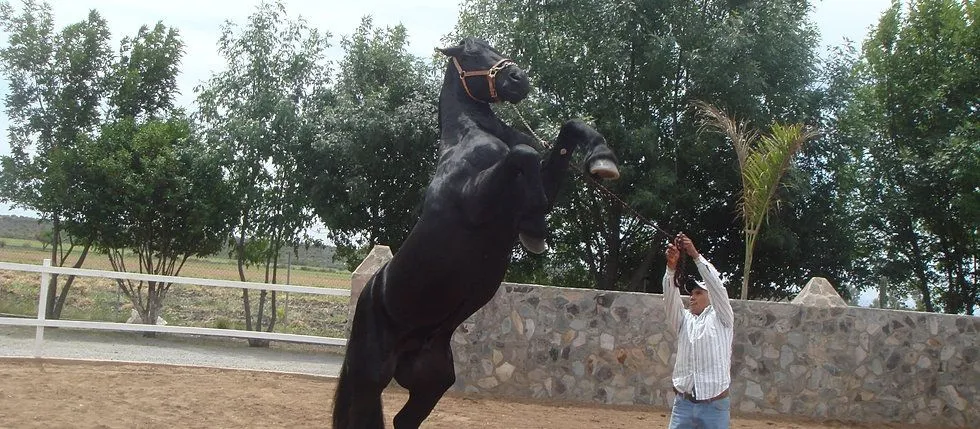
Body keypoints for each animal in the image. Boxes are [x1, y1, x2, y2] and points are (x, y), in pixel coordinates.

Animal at [330, 36, 620, 428]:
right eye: (470, 53)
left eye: (494, 46)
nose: (518, 79)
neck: (470, 136)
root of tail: (368, 295)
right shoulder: (477, 202)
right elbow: (523, 152)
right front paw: (535, 227)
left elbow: (567, 130)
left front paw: (603, 159)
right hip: (370, 378)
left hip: (432, 381)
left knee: (404, 421)